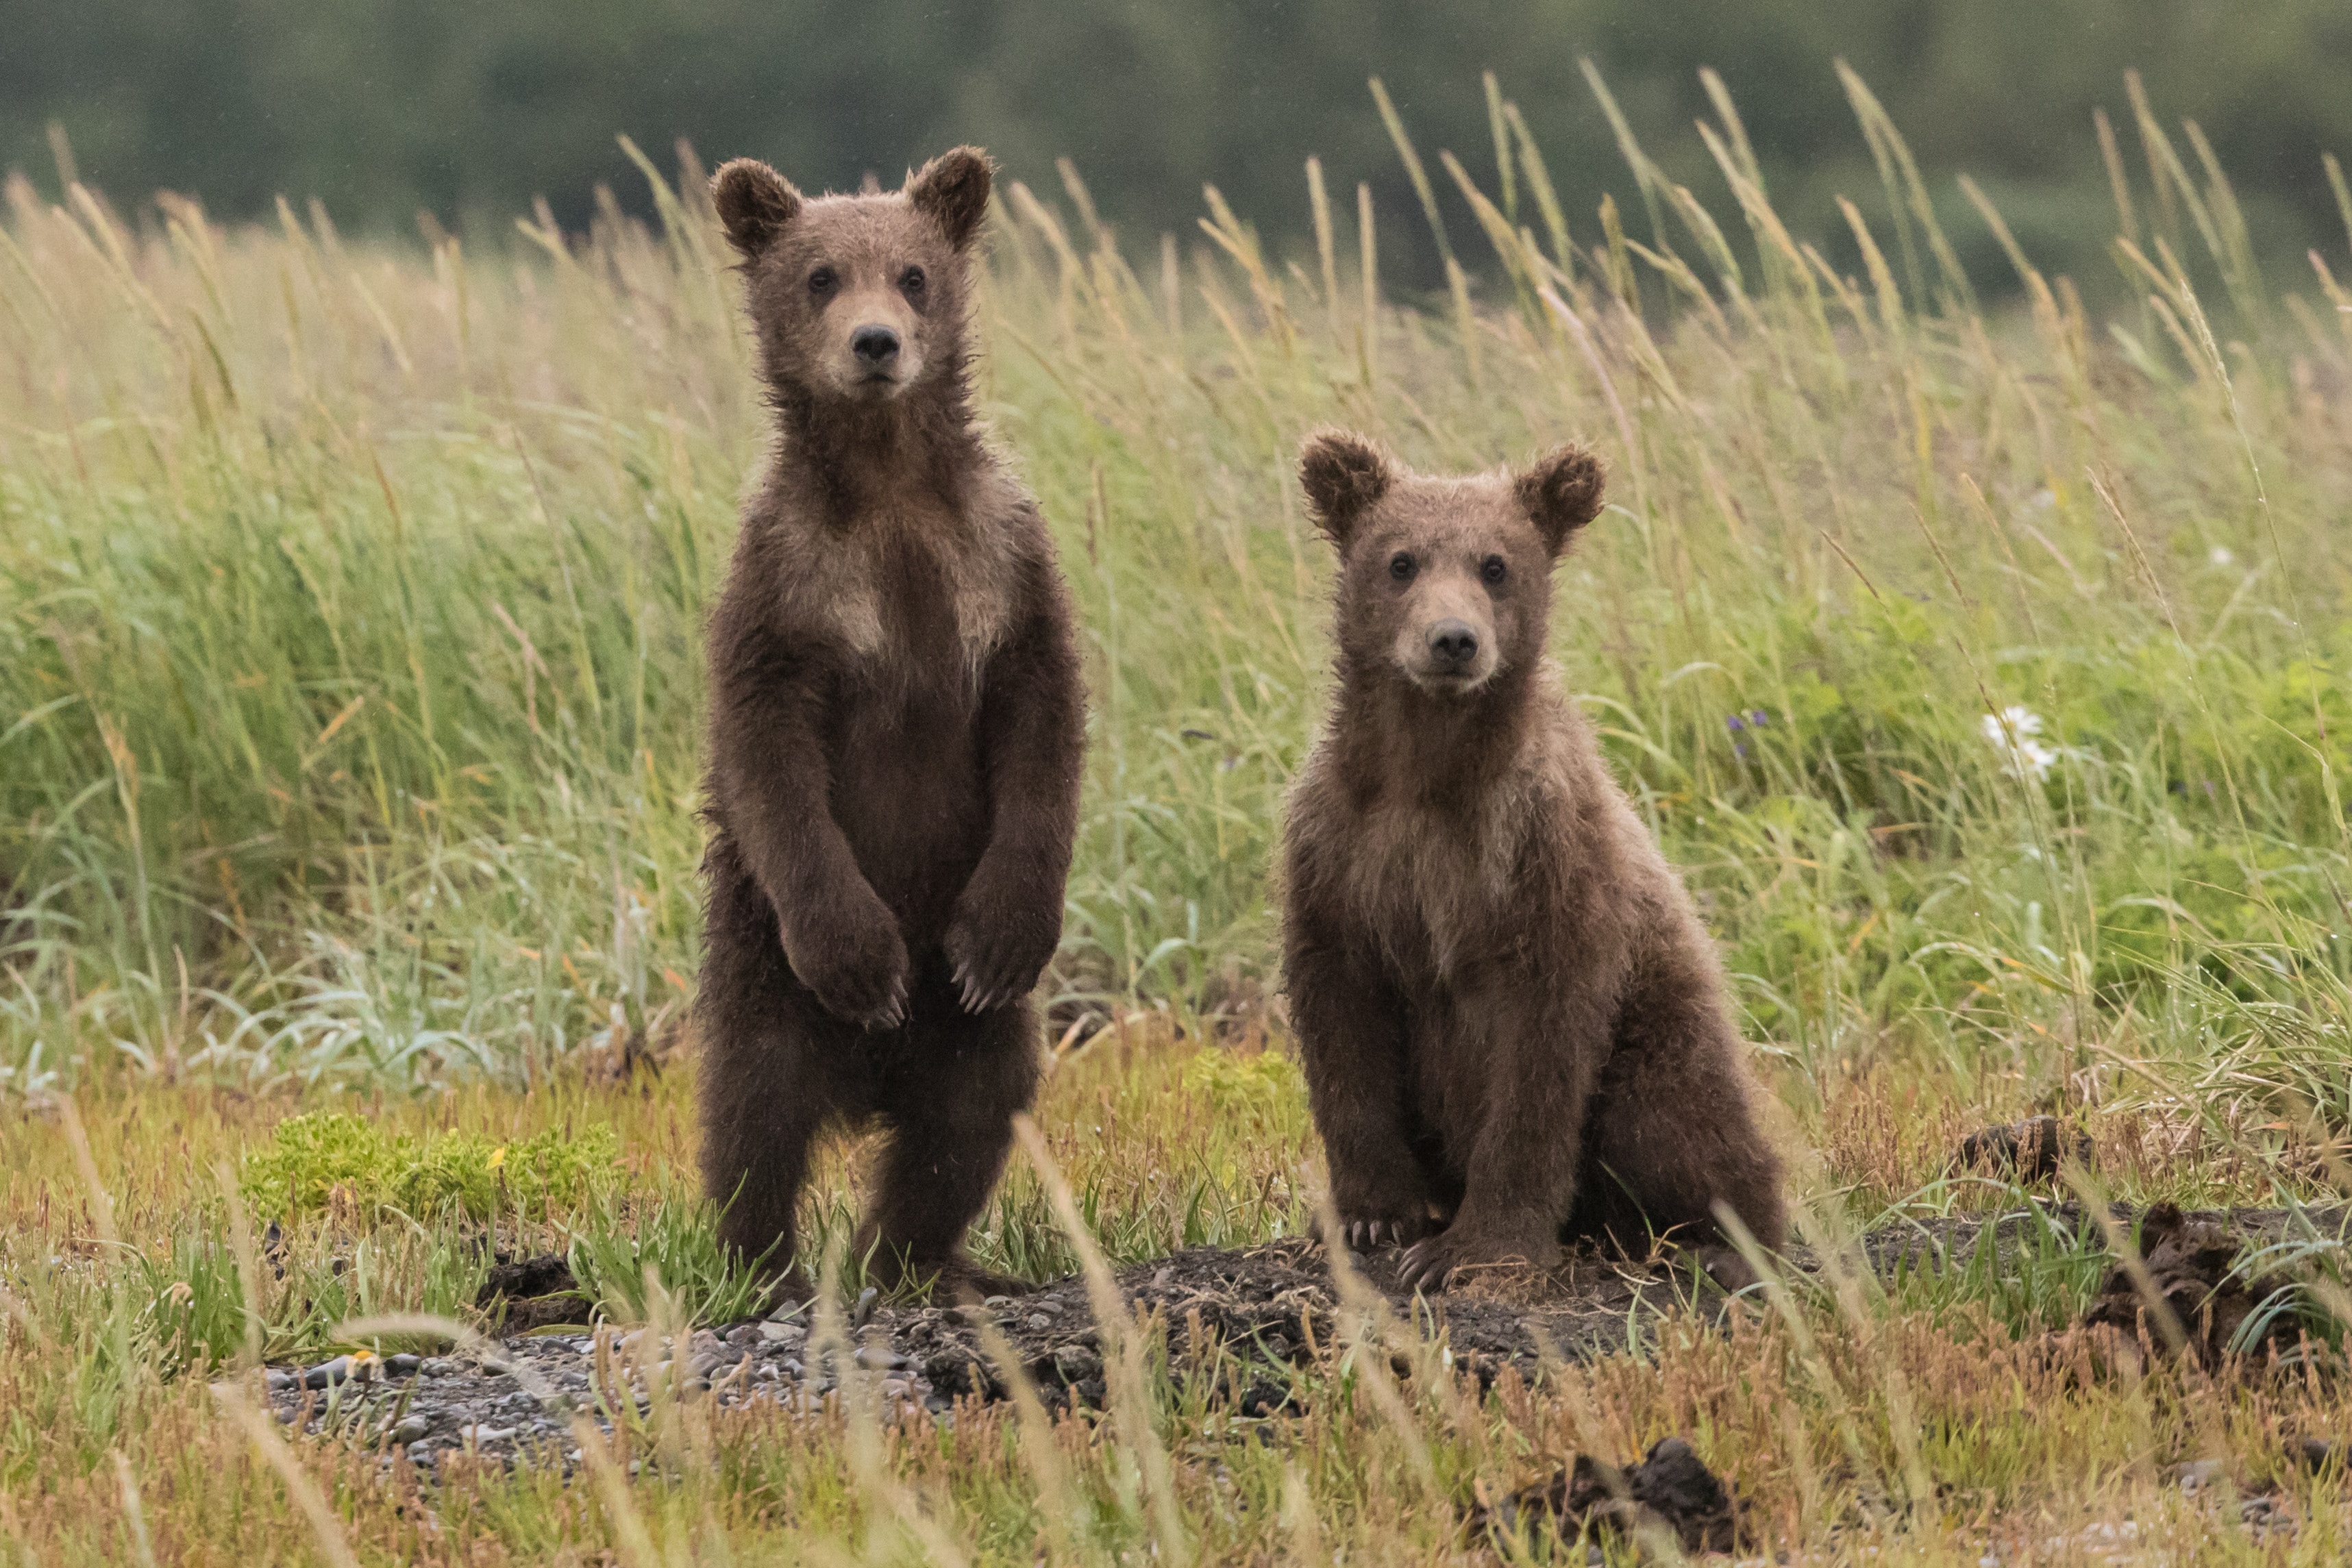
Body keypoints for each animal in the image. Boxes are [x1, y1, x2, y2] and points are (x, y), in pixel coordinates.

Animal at [695, 146, 1085, 1300]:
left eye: (912, 273)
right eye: (820, 274)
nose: (876, 343)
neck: (888, 484)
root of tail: (869, 1082)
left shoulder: (1001, 562)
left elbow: (1042, 724)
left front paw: (1002, 934)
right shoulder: (786, 584)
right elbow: (771, 757)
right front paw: (866, 958)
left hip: (971, 1032)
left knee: (967, 1117)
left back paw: (924, 1261)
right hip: (761, 967)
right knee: (755, 1112)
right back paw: (764, 1266)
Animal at [1280, 429, 1786, 1292]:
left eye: (1495, 564)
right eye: (1401, 560)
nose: (1453, 640)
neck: (1429, 774)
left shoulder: (1541, 857)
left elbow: (1538, 1060)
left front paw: (1469, 1250)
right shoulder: (1340, 851)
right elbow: (1342, 1026)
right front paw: (1372, 1216)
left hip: (1662, 1031)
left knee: (1682, 1123)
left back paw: (1723, 1241)